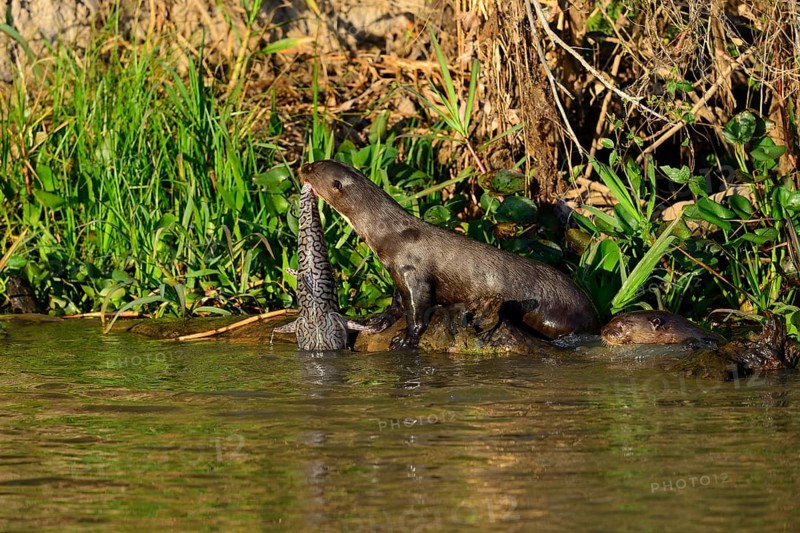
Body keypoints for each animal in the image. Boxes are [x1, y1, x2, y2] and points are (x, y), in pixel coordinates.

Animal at [299, 160, 599, 348]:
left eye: (313, 167)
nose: (301, 166)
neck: (392, 234)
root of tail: (592, 311)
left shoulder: (414, 273)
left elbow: (418, 310)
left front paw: (406, 339)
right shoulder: (397, 272)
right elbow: (397, 302)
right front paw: (379, 319)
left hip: (554, 316)